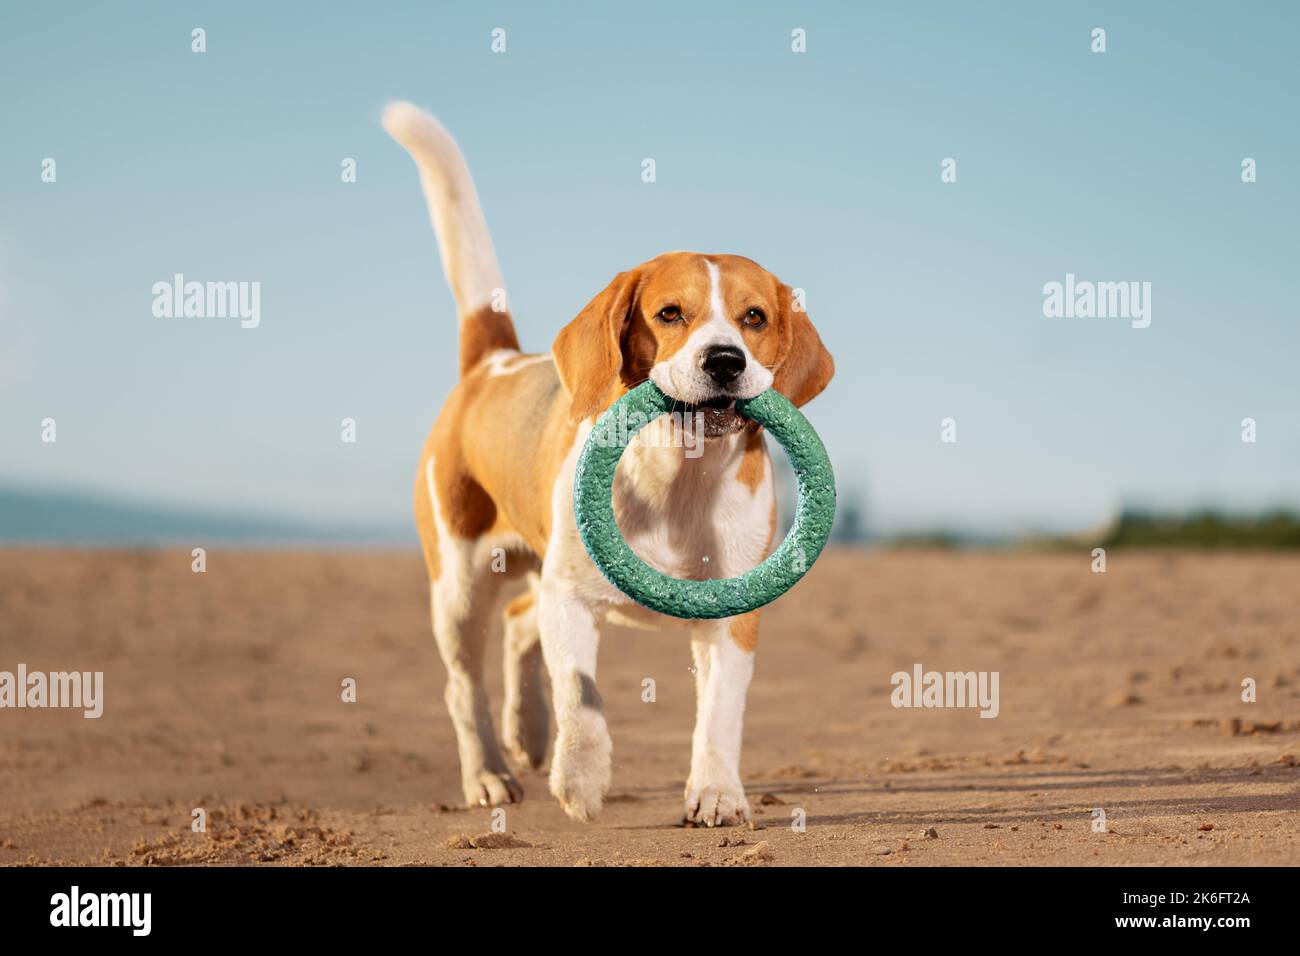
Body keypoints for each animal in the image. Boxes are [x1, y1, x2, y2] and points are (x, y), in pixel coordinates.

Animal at [384, 100, 832, 827]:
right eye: (669, 313)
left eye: (755, 317)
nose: (725, 360)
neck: (681, 478)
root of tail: (493, 362)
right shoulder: (570, 597)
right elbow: (581, 694)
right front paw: (582, 779)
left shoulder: (736, 612)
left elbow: (720, 713)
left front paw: (716, 793)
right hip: (458, 582)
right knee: (463, 684)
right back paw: (489, 773)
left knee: (518, 622)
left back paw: (528, 733)